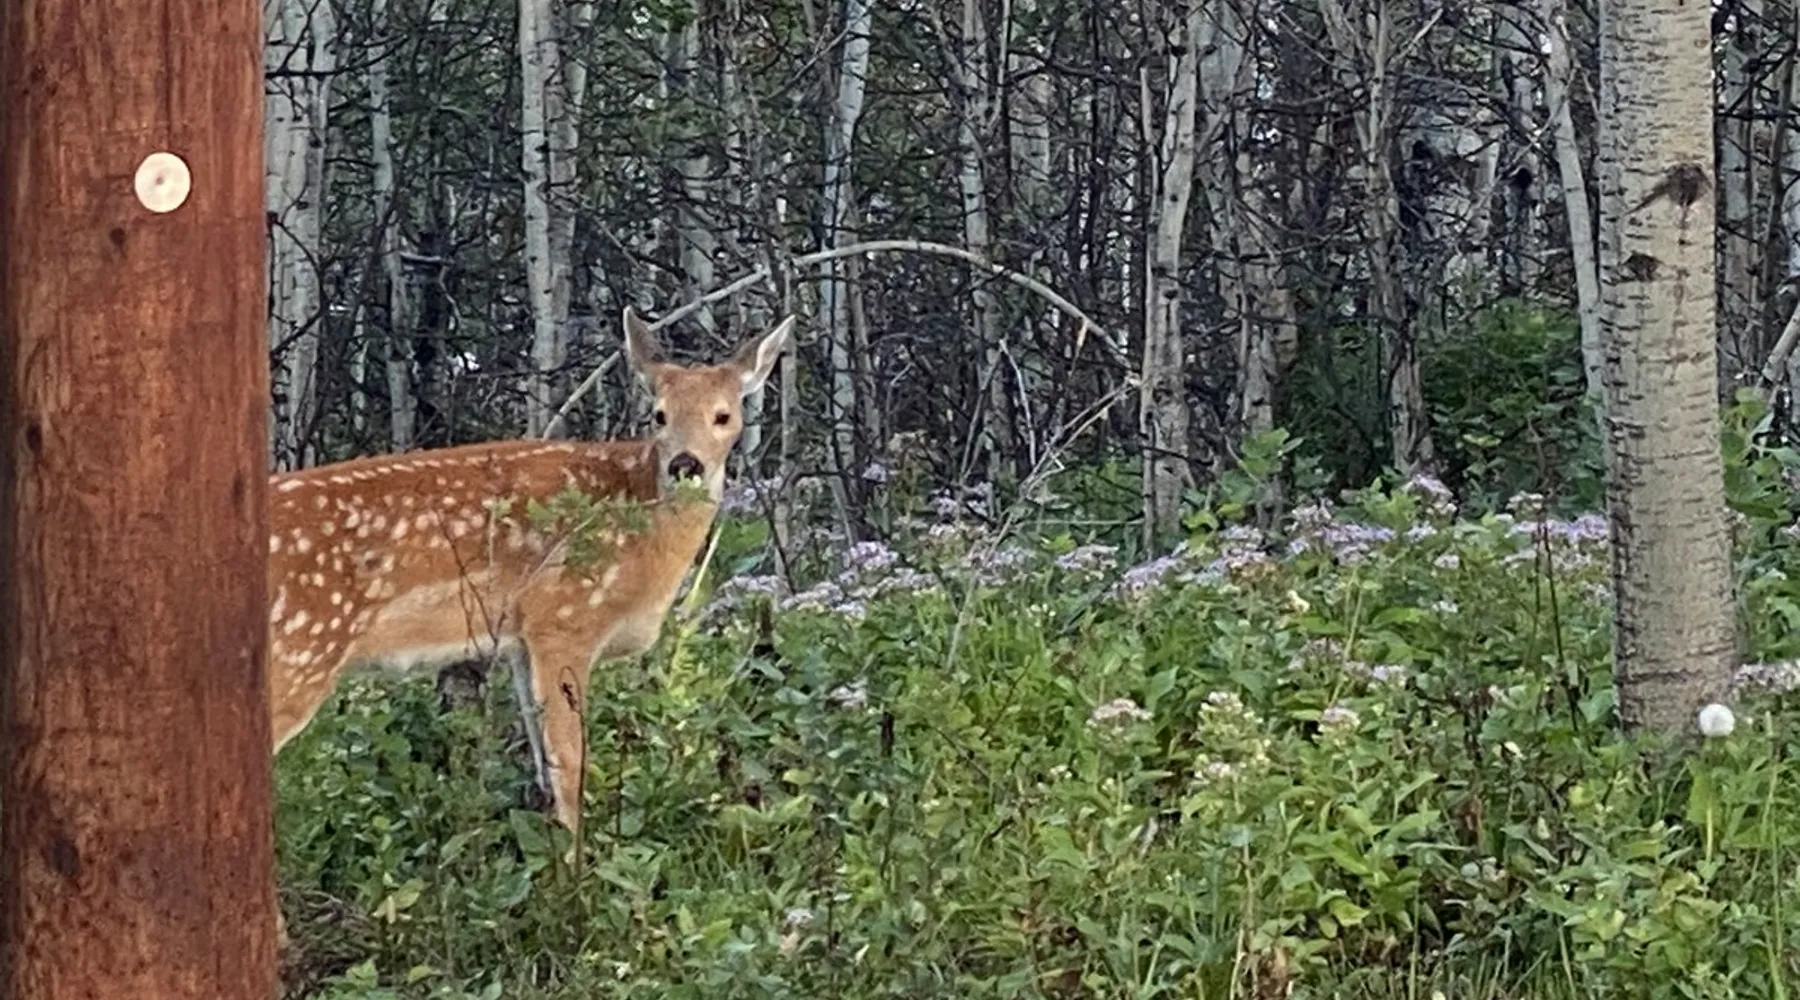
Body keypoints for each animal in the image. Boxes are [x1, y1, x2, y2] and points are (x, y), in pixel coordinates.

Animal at [264, 307, 793, 874]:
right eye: (658, 415)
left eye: (724, 416)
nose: (686, 464)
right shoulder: (563, 619)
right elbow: (571, 764)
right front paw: (577, 877)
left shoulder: (521, 641)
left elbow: (543, 765)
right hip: (300, 651)